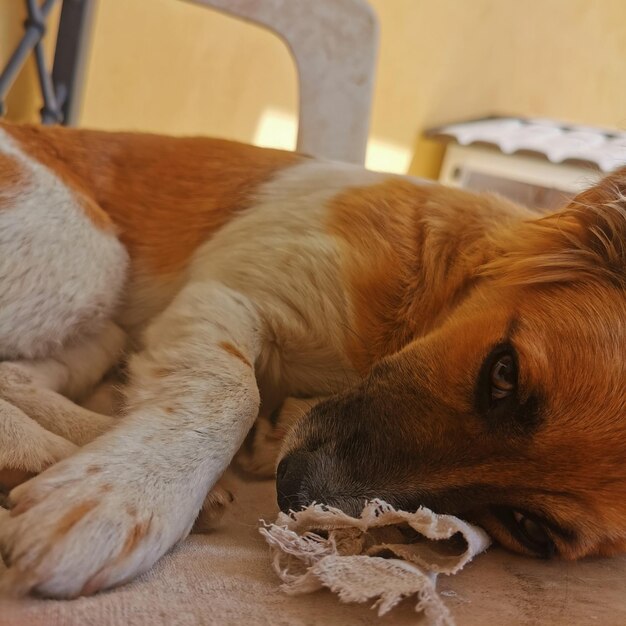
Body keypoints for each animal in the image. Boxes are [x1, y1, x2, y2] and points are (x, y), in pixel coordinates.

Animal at [0, 120, 620, 596]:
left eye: (529, 527)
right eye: (503, 373)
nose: (293, 494)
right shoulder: (230, 296)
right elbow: (233, 392)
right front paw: (120, 498)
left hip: (95, 326)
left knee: (18, 373)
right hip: (92, 258)